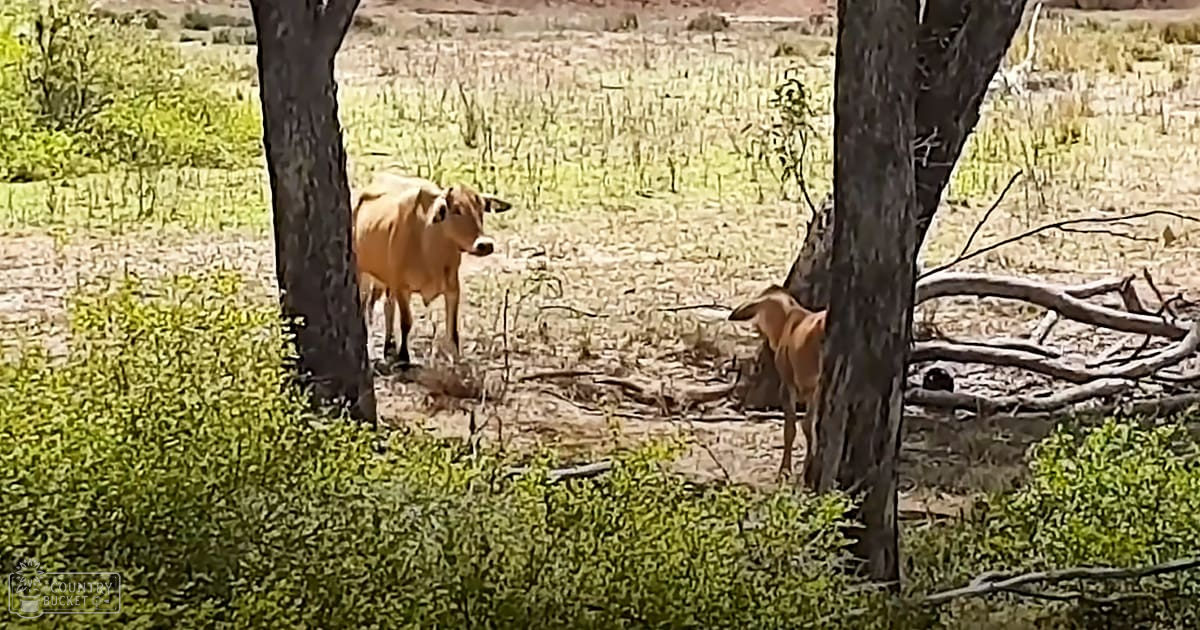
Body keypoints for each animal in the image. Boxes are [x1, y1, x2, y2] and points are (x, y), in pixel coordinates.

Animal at [351, 172, 512, 366]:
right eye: (456, 210)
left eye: (481, 209)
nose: (484, 245)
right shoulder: (402, 287)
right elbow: (406, 322)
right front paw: (404, 357)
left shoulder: (452, 288)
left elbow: (453, 330)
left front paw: (456, 358)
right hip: (363, 273)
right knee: (366, 306)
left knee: (387, 306)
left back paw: (389, 346)